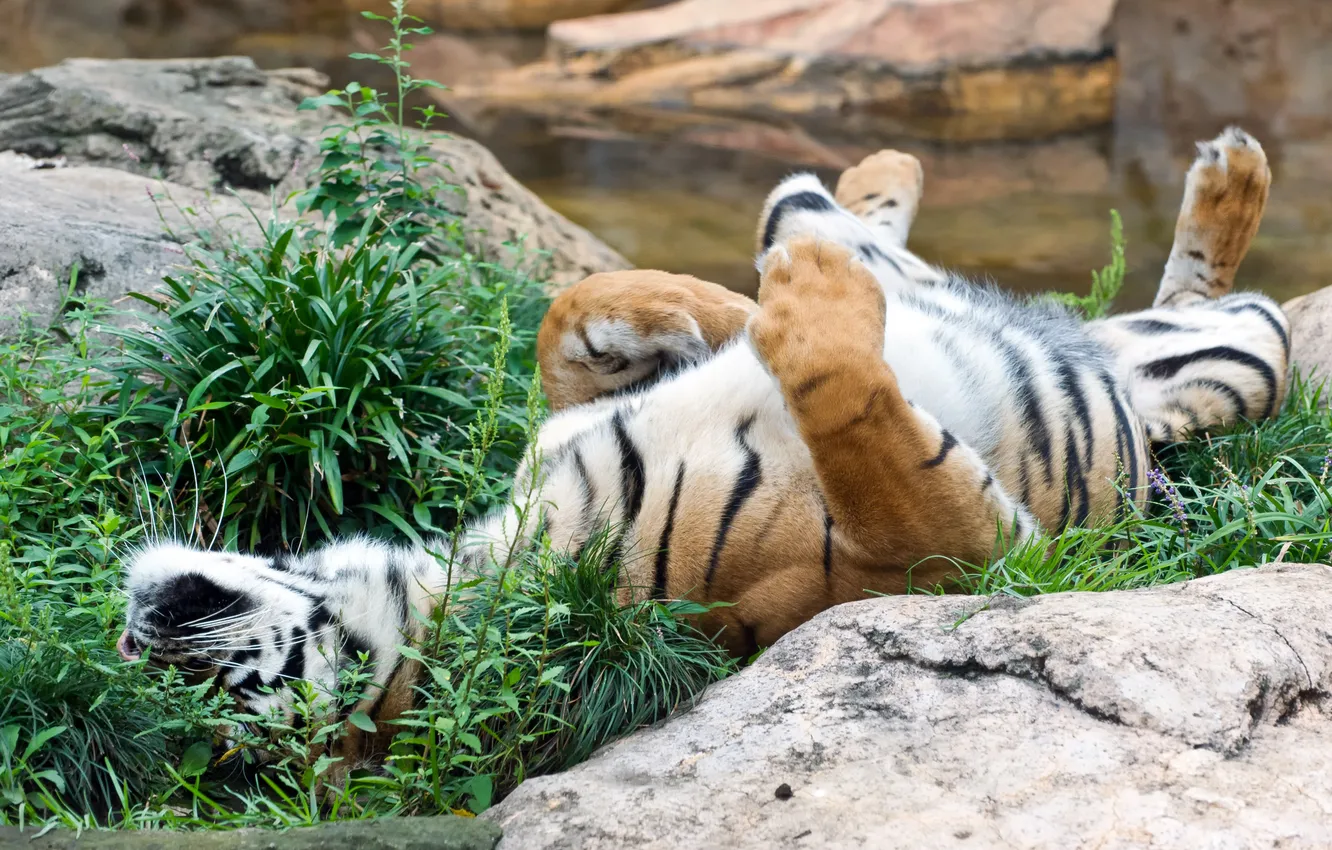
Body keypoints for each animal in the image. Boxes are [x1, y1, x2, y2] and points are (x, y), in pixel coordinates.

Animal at [117, 127, 1289, 768]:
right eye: (225, 701)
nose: (137, 631)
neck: (494, 563)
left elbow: (569, 318)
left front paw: (701, 309)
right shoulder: (948, 554)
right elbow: (850, 409)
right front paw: (803, 301)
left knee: (835, 214)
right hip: (1232, 360)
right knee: (1237, 320)